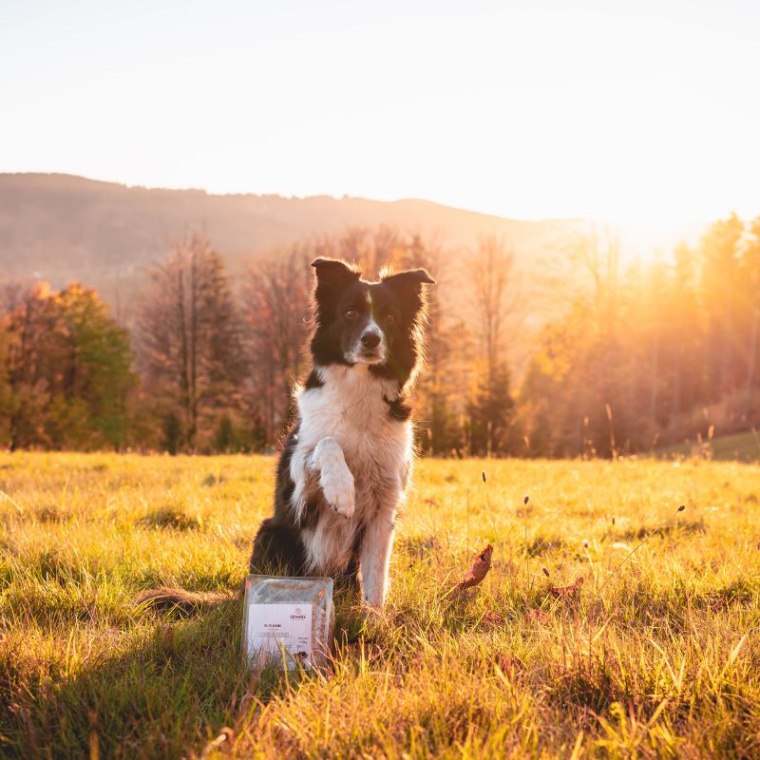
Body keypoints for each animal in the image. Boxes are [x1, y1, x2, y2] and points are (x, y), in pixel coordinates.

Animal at [249, 258, 434, 608]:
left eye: (390, 317)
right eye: (350, 313)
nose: (371, 339)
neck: (359, 386)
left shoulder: (383, 508)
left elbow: (376, 579)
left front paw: (374, 617)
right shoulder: (298, 486)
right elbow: (327, 441)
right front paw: (341, 491)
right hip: (271, 532)